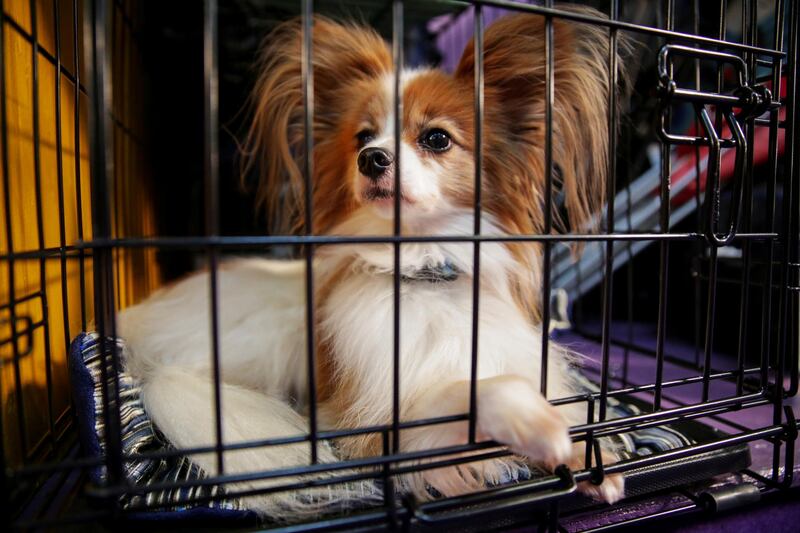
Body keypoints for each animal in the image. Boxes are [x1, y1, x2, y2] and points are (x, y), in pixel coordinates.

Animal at [119, 5, 628, 520]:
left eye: (437, 138)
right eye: (362, 137)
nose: (371, 157)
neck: (425, 271)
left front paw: (592, 457)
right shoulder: (364, 423)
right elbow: (462, 394)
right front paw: (523, 430)